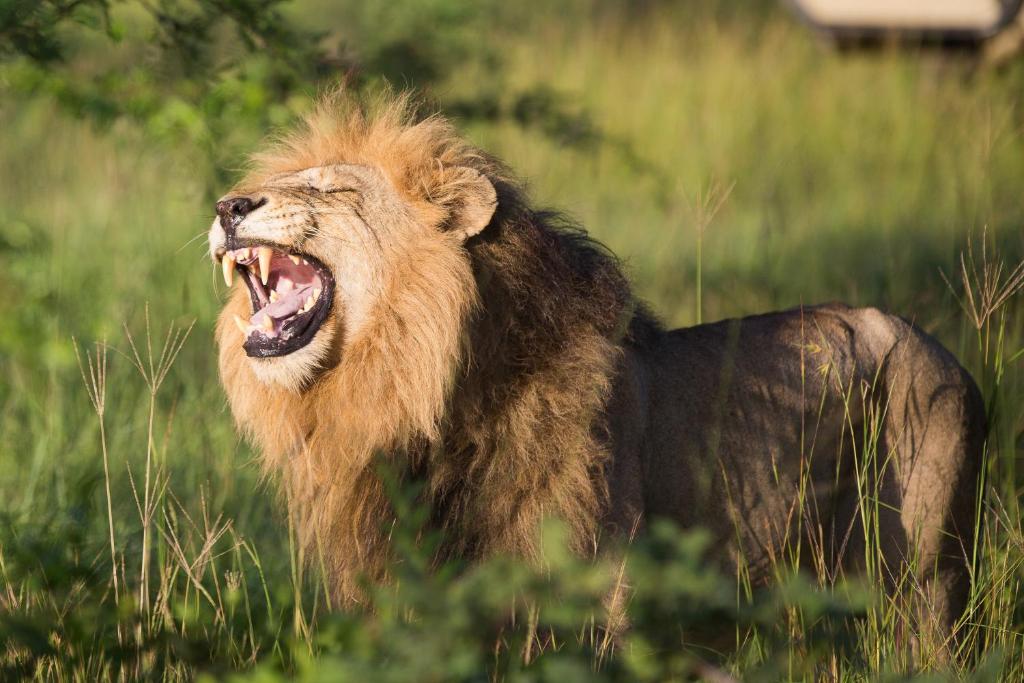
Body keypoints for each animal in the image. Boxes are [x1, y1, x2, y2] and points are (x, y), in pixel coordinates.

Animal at [205, 90, 983, 647]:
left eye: (335, 191)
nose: (229, 203)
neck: (416, 395)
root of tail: (946, 352)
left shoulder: (592, 583)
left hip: (923, 569)